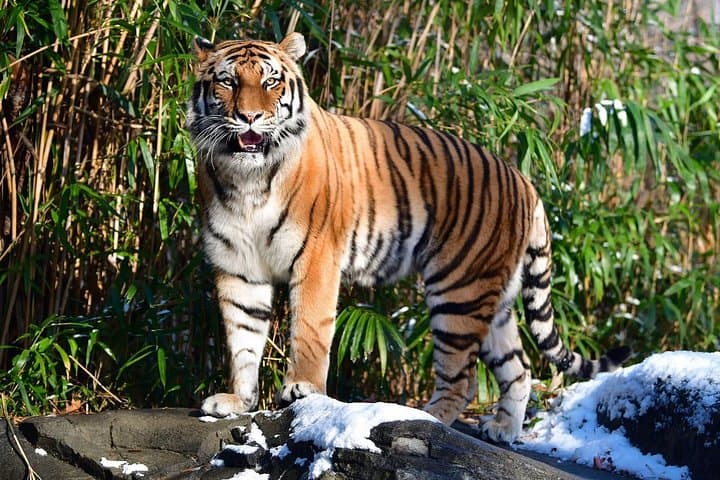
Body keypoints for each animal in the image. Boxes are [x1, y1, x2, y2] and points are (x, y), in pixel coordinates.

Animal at [185, 32, 630, 443]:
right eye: (227, 82)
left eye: (271, 81)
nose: (250, 117)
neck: (248, 180)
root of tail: (525, 181)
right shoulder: (238, 267)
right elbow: (243, 338)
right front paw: (237, 401)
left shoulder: (316, 259)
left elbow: (309, 329)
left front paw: (303, 388)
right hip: (495, 299)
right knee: (518, 368)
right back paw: (503, 429)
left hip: (458, 290)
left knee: (463, 379)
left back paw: (425, 417)